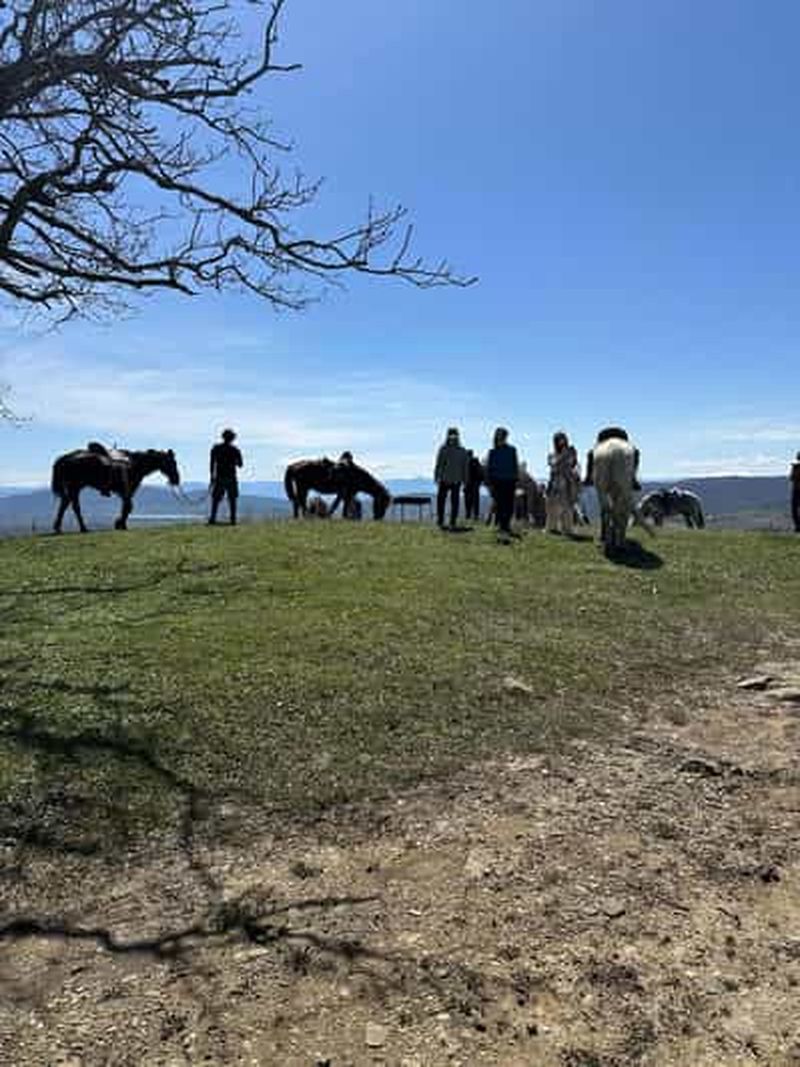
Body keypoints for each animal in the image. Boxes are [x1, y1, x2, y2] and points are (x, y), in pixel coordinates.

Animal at [51, 446, 180, 533]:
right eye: (172, 462)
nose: (176, 479)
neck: (135, 464)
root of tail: (66, 457)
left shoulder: (125, 492)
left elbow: (126, 507)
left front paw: (120, 523)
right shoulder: (128, 491)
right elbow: (128, 507)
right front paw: (120, 524)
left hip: (74, 489)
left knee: (65, 504)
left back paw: (59, 528)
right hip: (75, 487)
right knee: (74, 507)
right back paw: (83, 528)